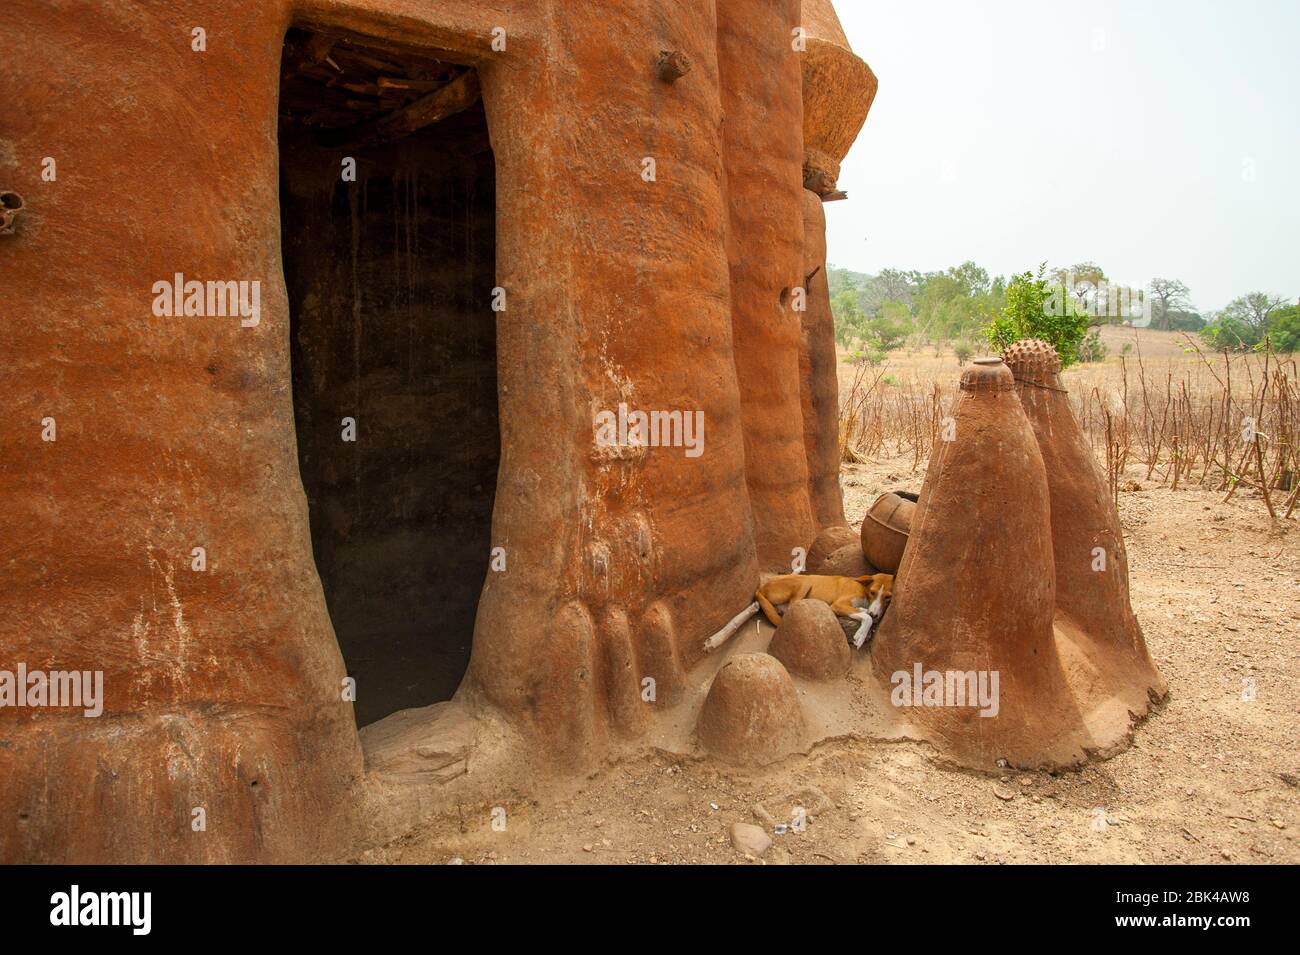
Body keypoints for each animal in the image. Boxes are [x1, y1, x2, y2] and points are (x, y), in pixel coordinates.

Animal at [702, 571, 894, 654]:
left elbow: (865, 613)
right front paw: (860, 636)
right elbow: (866, 617)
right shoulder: (838, 604)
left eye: (888, 598)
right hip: (805, 582)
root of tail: (760, 588)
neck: (862, 589)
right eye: (873, 593)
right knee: (793, 608)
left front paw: (867, 615)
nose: (876, 614)